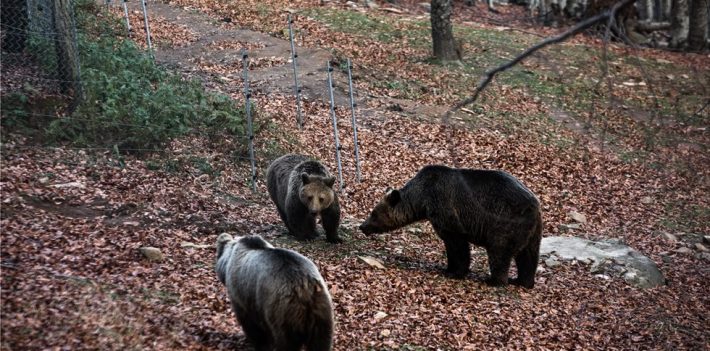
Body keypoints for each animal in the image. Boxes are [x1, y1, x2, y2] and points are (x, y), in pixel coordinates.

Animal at [362, 166, 544, 290]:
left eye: (373, 214)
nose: (362, 226)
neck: (422, 198)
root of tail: (534, 204)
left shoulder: (446, 208)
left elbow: (457, 244)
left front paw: (455, 271)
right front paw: (448, 267)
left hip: (505, 221)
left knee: (499, 251)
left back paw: (494, 281)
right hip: (533, 230)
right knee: (528, 255)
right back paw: (522, 281)